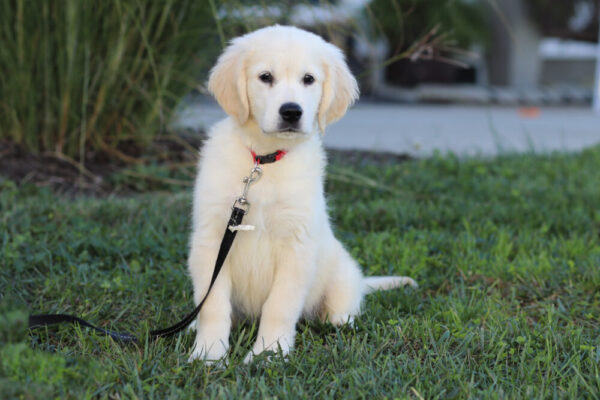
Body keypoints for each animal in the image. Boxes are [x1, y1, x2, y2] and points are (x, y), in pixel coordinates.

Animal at [190, 24, 414, 362]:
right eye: (265, 77)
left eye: (308, 79)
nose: (291, 112)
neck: (264, 163)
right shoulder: (212, 238)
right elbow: (212, 305)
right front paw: (208, 354)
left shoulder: (297, 246)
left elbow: (279, 306)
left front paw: (267, 353)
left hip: (341, 274)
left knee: (343, 307)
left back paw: (339, 320)